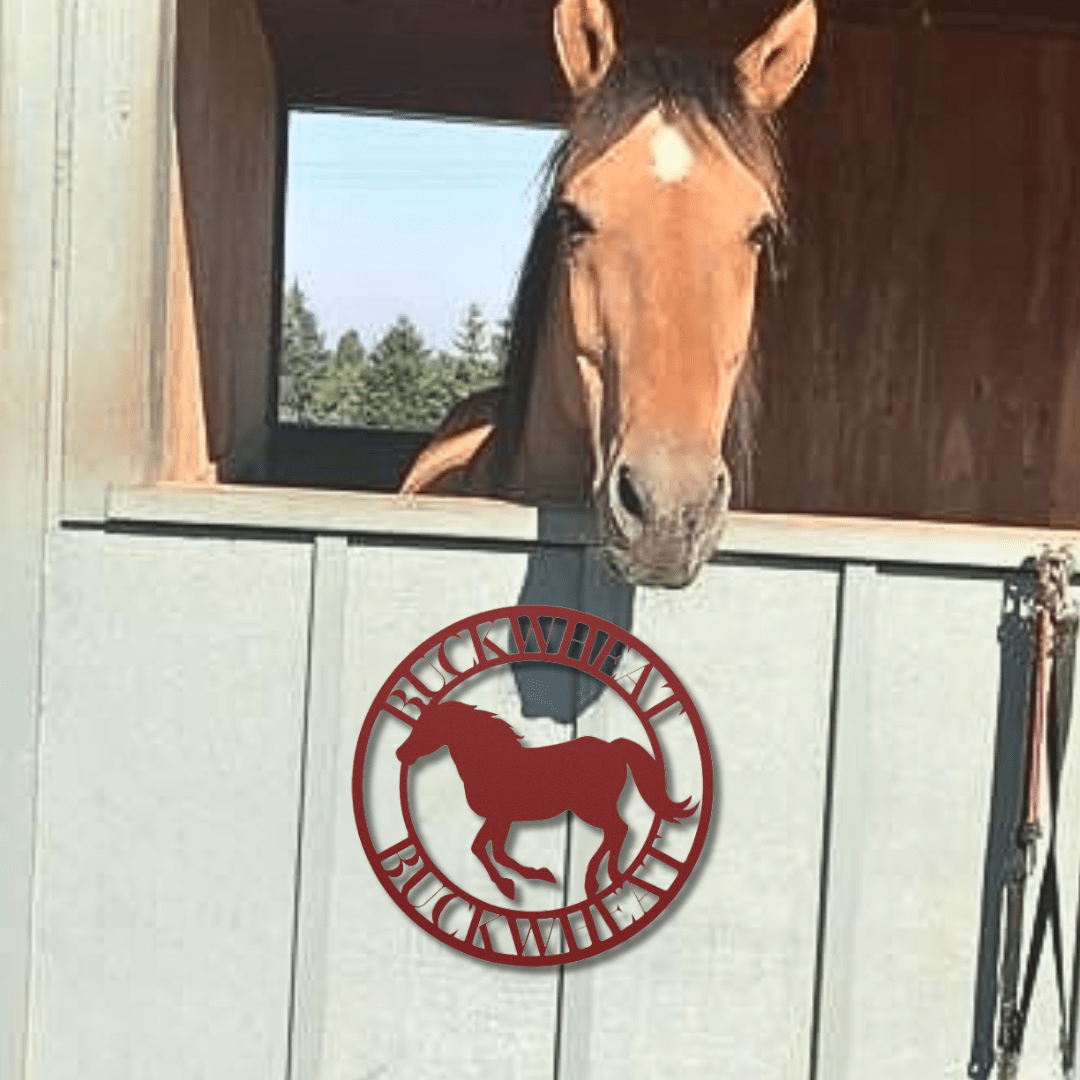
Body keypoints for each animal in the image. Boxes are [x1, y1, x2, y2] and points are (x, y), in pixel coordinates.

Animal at [395, 695, 691, 898]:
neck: (491, 763)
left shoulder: (500, 816)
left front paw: (514, 884)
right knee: (618, 832)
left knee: (619, 830)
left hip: (591, 808)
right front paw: (531, 879)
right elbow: (492, 850)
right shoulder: (502, 819)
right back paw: (609, 878)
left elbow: (485, 849)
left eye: (429, 727)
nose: (400, 753)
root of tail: (613, 748)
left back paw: (597, 880)